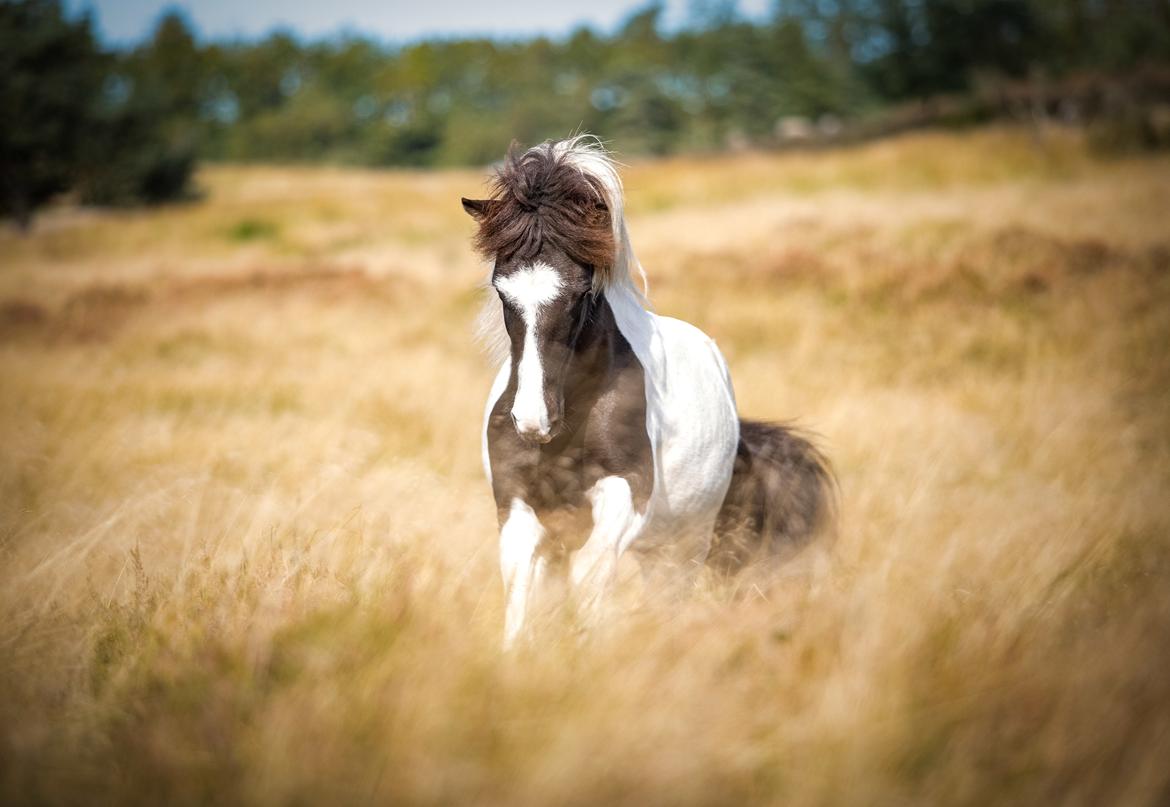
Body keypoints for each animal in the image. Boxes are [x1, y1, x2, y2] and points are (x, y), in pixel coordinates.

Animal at [460, 135, 837, 645]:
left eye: (582, 292)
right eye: (502, 290)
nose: (534, 420)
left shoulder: (625, 491)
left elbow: (592, 577)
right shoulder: (518, 499)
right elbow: (522, 588)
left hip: (682, 547)